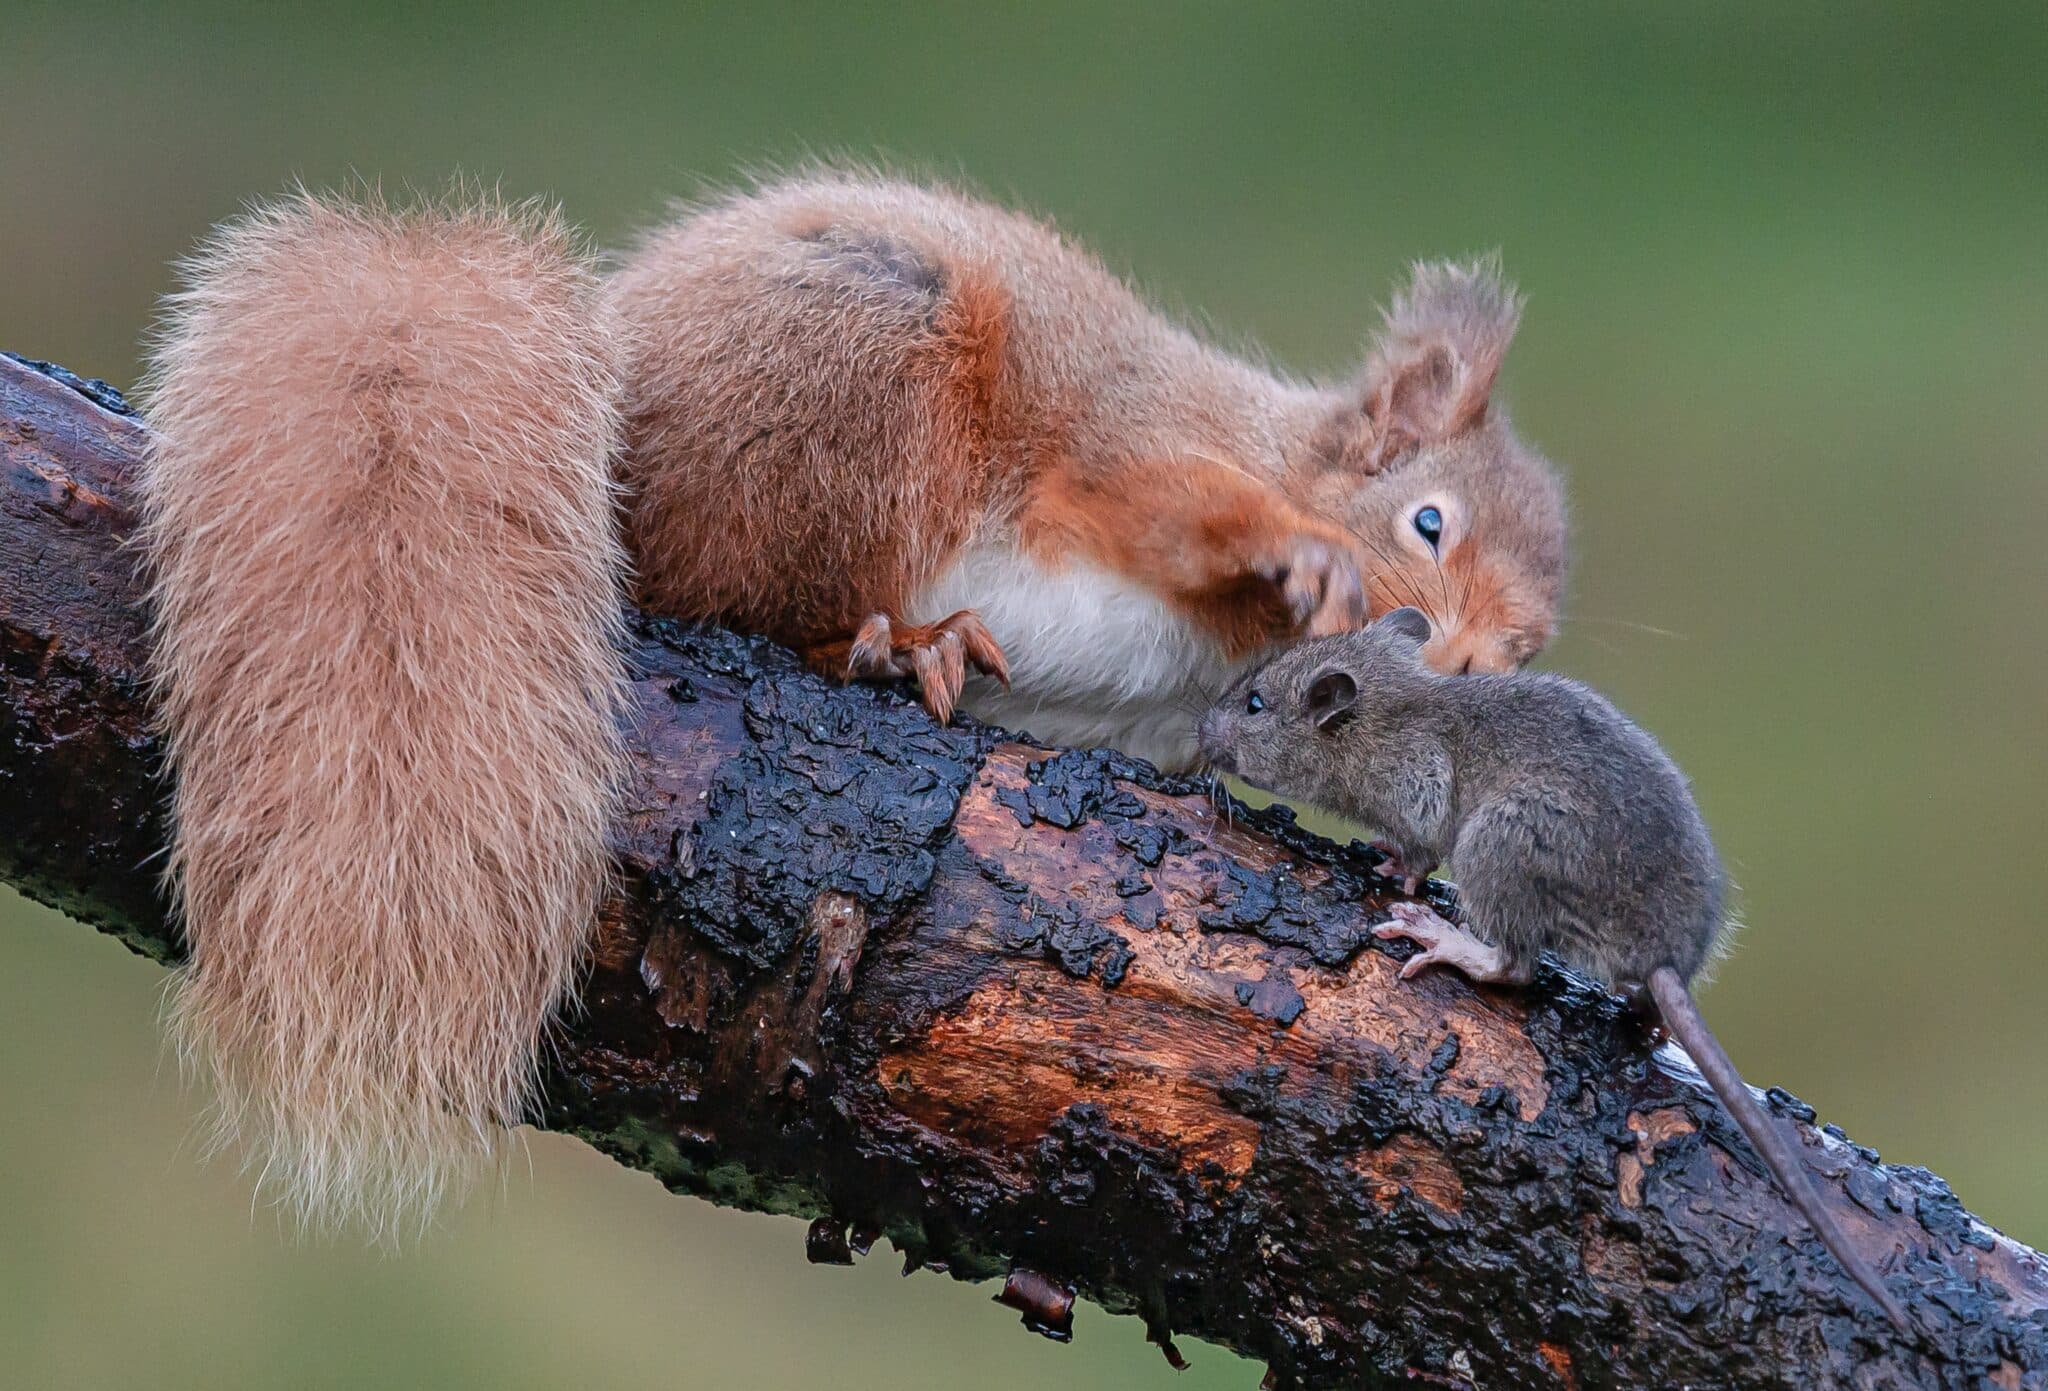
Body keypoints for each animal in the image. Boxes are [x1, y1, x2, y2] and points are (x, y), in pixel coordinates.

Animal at [139, 172, 1567, 1235]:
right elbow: (1175, 503)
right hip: (868, 364)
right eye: (1426, 522)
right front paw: (1298, 553)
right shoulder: (1123, 452)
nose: (1460, 672)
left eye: (1529, 640)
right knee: (740, 588)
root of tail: (612, 393)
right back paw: (893, 644)